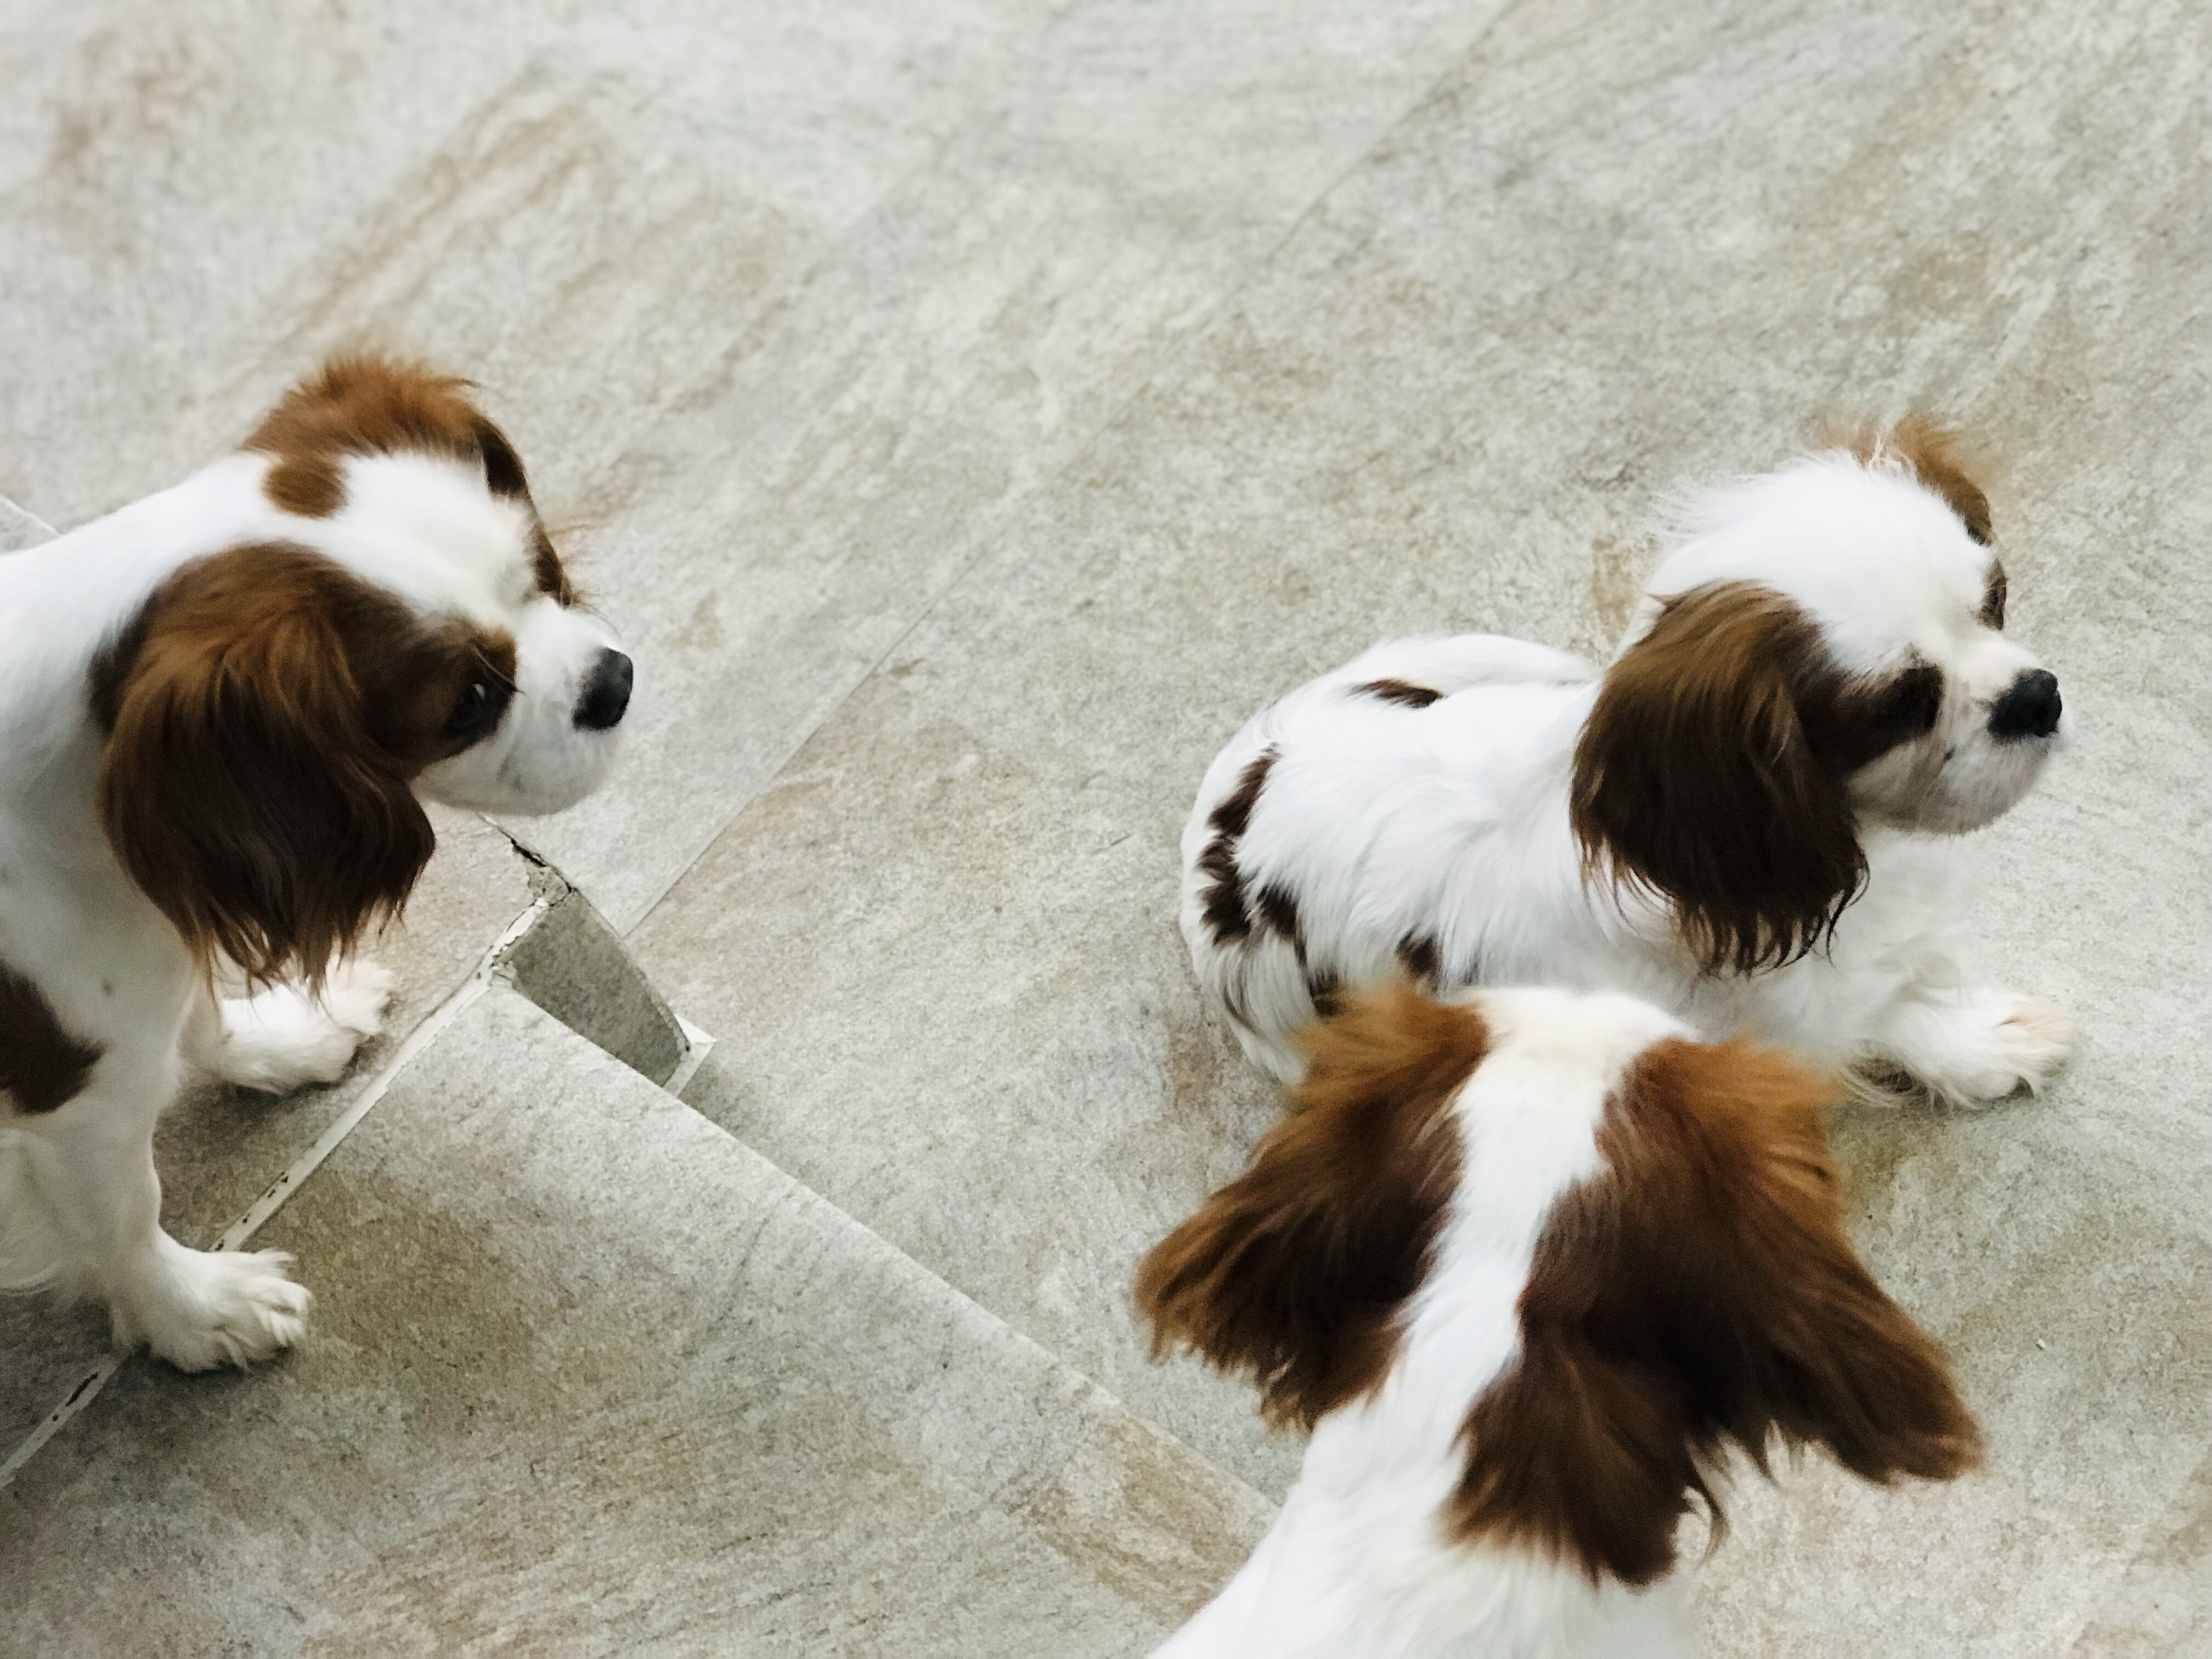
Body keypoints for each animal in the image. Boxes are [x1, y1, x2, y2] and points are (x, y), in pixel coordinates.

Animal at [0, 356, 631, 1369]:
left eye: (539, 572)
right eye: (470, 702)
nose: (616, 682)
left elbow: (203, 1009)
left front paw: (283, 1039)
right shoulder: (76, 1098)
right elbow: (127, 1221)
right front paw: (195, 1314)